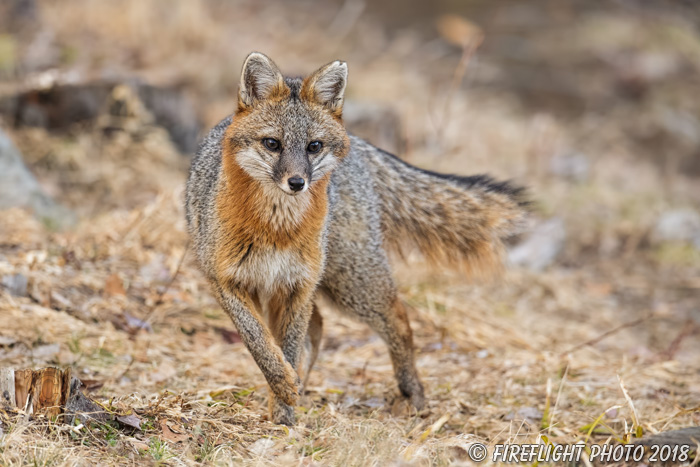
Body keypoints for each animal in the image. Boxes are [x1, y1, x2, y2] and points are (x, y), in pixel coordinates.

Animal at [185, 53, 524, 426]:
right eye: (272, 144)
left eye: (313, 146)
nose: (297, 182)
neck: (277, 228)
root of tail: (359, 145)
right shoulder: (226, 282)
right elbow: (259, 343)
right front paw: (284, 388)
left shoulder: (297, 287)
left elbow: (287, 346)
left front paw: (285, 413)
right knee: (318, 330)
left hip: (350, 284)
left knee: (397, 321)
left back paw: (412, 393)